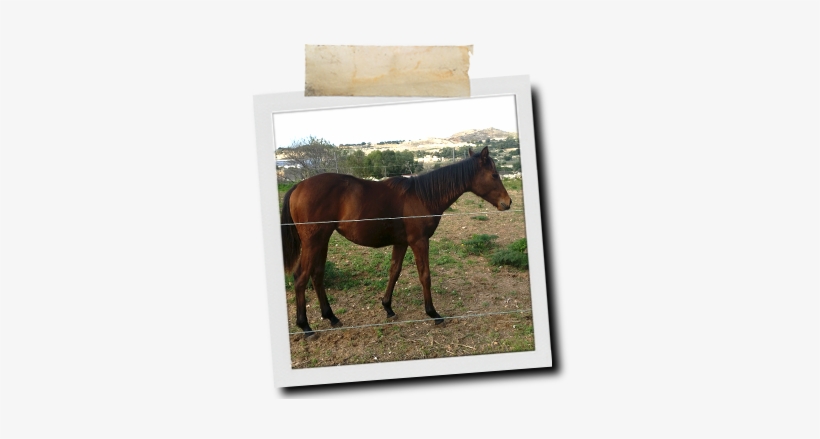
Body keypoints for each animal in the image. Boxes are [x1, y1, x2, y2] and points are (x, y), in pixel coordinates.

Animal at [280, 146, 512, 339]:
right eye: (494, 175)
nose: (507, 202)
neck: (422, 196)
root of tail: (298, 186)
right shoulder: (419, 242)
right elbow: (425, 276)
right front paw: (433, 313)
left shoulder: (401, 243)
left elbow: (394, 271)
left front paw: (388, 307)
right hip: (313, 242)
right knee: (301, 278)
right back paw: (306, 327)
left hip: (322, 241)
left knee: (317, 275)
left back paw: (332, 317)